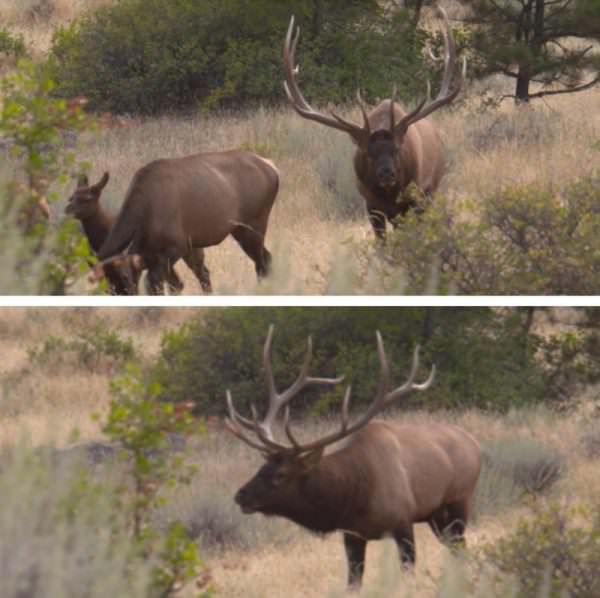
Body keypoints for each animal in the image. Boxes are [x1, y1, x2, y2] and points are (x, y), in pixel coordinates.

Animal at [96, 150, 278, 296]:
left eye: (125, 277)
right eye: (106, 287)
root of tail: (273, 168)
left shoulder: (178, 246)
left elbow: (156, 284)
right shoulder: (167, 252)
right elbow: (188, 280)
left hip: (254, 225)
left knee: (261, 265)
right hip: (239, 230)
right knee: (267, 259)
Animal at [227, 326, 480, 588]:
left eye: (281, 474)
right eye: (262, 465)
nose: (240, 495)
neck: (355, 494)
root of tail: (474, 442)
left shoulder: (403, 521)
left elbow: (408, 573)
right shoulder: (352, 535)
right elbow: (353, 582)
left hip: (459, 501)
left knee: (461, 546)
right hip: (436, 516)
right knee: (457, 549)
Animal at [284, 5, 462, 239]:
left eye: (397, 149)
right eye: (369, 153)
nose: (387, 173)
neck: (389, 195)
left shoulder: (415, 199)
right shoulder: (371, 206)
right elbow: (382, 242)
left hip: (432, 189)